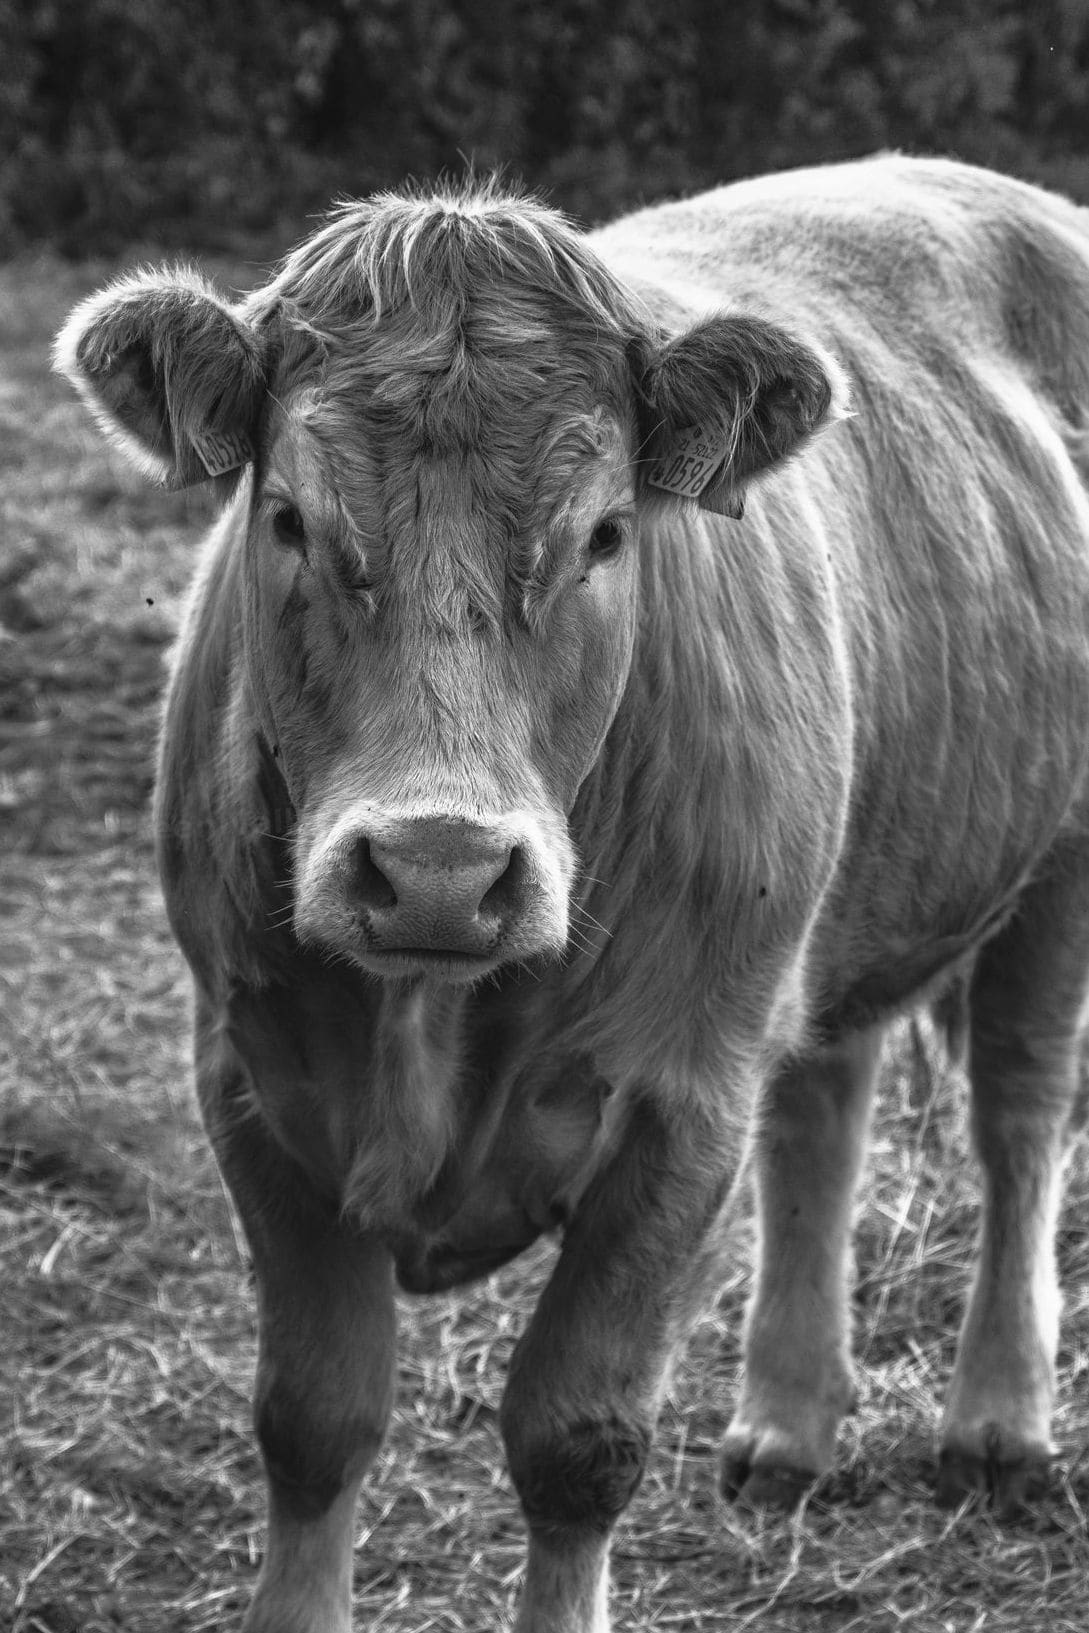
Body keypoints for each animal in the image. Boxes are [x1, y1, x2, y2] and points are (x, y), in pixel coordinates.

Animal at [56, 154, 1089, 1633]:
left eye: (604, 533)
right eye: (289, 517)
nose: (437, 867)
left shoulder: (677, 1102)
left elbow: (576, 1440)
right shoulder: (249, 1073)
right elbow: (313, 1418)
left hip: (1053, 870)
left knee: (1017, 1114)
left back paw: (1000, 1423)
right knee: (824, 1106)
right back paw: (788, 1420)